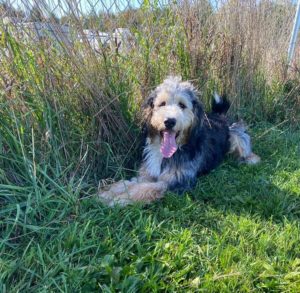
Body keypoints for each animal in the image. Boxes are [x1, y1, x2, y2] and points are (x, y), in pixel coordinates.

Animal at [99, 76, 260, 206]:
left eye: (182, 105)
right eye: (162, 104)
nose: (169, 121)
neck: (167, 154)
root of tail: (219, 115)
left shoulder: (176, 182)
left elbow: (146, 188)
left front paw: (119, 200)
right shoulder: (147, 173)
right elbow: (128, 183)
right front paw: (108, 192)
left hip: (236, 136)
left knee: (245, 145)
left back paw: (250, 159)